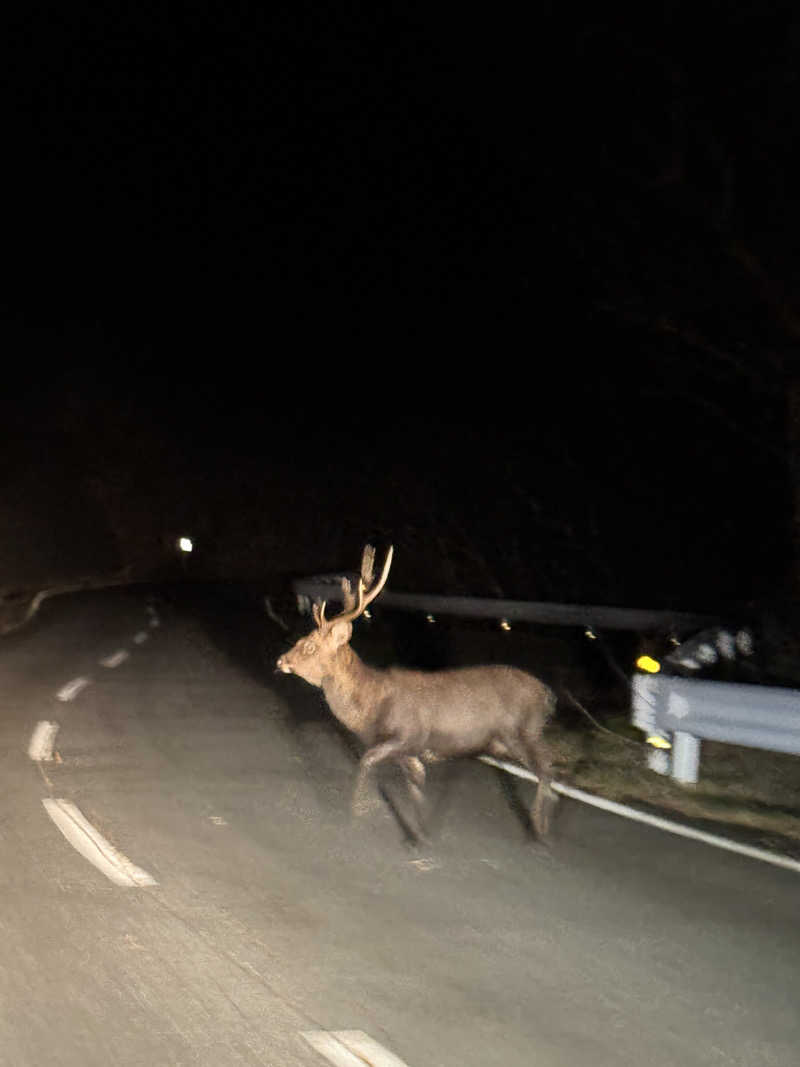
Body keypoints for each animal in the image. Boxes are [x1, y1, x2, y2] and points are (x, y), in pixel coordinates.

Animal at [279, 546, 558, 845]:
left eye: (309, 646)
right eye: (301, 640)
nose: (281, 660)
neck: (370, 706)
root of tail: (549, 696)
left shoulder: (407, 734)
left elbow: (366, 761)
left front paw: (353, 815)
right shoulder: (408, 749)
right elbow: (416, 781)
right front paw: (419, 834)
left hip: (523, 730)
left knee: (546, 768)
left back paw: (538, 830)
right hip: (506, 741)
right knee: (548, 766)